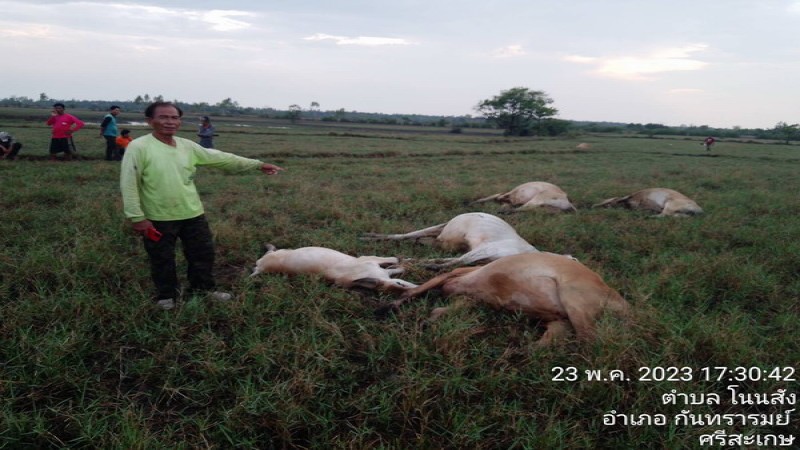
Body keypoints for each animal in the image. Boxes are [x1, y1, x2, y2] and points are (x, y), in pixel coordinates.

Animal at [252, 244, 418, 294]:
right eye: (399, 286)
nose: (416, 289)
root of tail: (261, 268)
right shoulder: (369, 259)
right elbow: (395, 260)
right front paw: (411, 260)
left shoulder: (384, 271)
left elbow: (398, 267)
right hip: (275, 255)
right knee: (267, 254)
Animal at [360, 212, 536, 268]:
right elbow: (408, 236)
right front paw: (368, 236)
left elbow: (406, 235)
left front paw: (367, 236)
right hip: (484, 255)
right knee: (452, 261)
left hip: (487, 250)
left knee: (453, 262)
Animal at [370, 253, 632, 344]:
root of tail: (625, 306)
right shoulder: (469, 296)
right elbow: (440, 309)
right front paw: (427, 321)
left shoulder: (454, 276)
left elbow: (413, 291)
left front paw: (385, 308)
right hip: (562, 319)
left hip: (574, 299)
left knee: (589, 340)